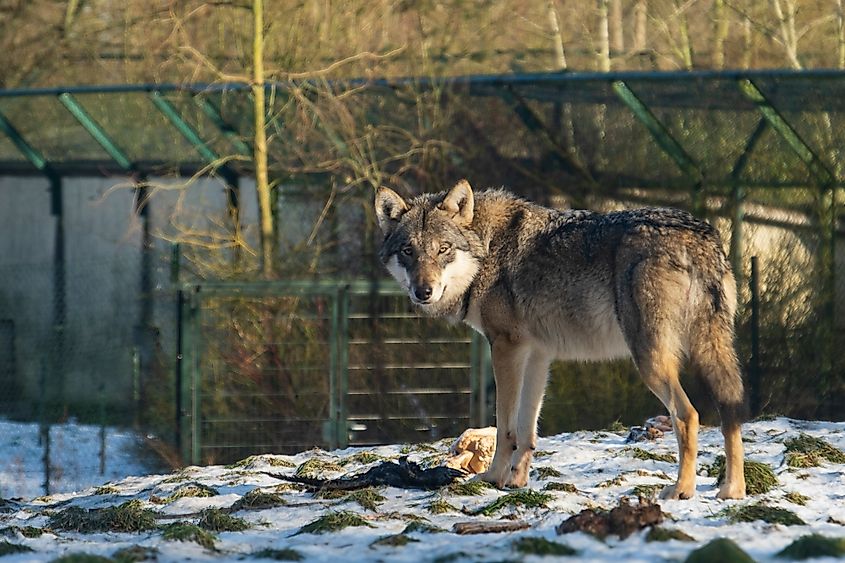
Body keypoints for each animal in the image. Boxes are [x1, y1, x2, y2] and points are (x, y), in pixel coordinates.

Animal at [374, 179, 747, 500]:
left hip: (650, 361)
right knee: (731, 409)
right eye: (408, 251)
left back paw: (681, 489)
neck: (487, 248)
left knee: (688, 415)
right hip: (712, 350)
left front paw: (493, 478)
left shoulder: (506, 348)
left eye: (443, 249)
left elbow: (505, 428)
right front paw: (518, 482)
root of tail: (698, 236)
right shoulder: (538, 355)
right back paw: (733, 490)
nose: (423, 291)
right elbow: (527, 430)